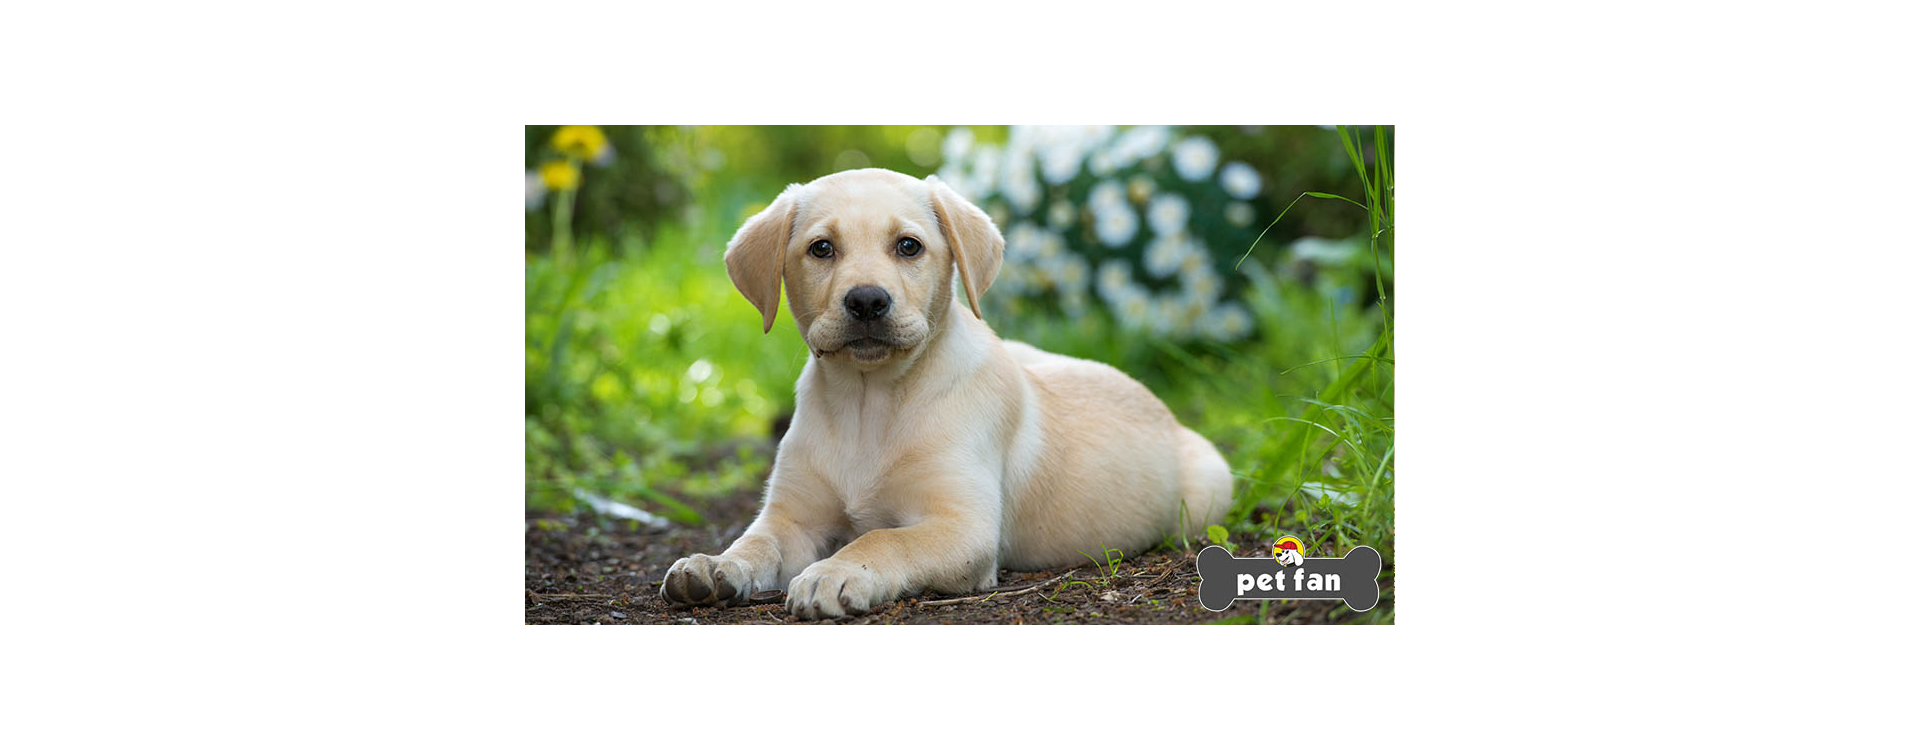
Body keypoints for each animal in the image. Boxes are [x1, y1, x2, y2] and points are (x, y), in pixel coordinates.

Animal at [660, 167, 1228, 621]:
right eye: (821, 248)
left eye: (908, 246)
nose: (867, 301)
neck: (869, 402)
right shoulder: (792, 519)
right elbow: (756, 542)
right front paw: (714, 565)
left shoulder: (963, 527)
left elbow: (884, 538)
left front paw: (835, 573)